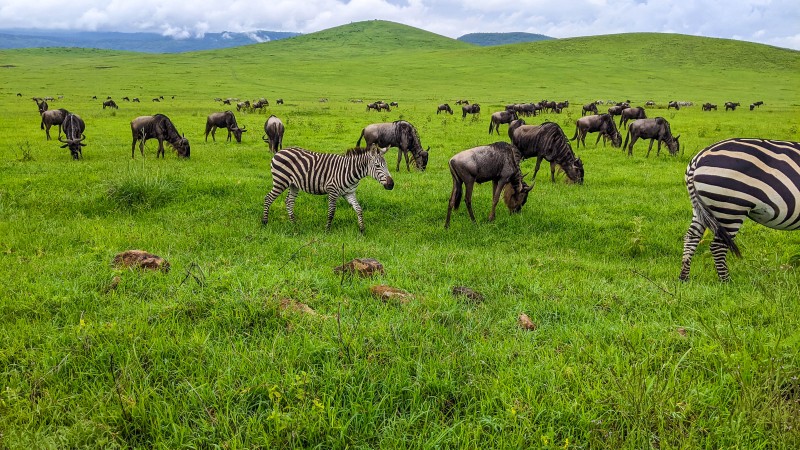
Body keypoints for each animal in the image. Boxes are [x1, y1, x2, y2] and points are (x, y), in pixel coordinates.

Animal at [260, 145, 396, 236]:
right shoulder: (332, 191)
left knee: (289, 201)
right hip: (280, 181)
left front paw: (362, 230)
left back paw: (294, 224)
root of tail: (279, 151)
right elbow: (331, 212)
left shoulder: (349, 193)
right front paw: (327, 231)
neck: (350, 171)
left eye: (386, 165)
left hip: (293, 184)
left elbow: (359, 210)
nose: (391, 184)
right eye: (377, 166)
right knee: (268, 198)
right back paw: (264, 222)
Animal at [680, 137, 800, 282]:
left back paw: (684, 278)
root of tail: (698, 157)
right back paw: (726, 282)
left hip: (701, 208)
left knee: (691, 237)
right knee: (717, 246)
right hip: (730, 209)